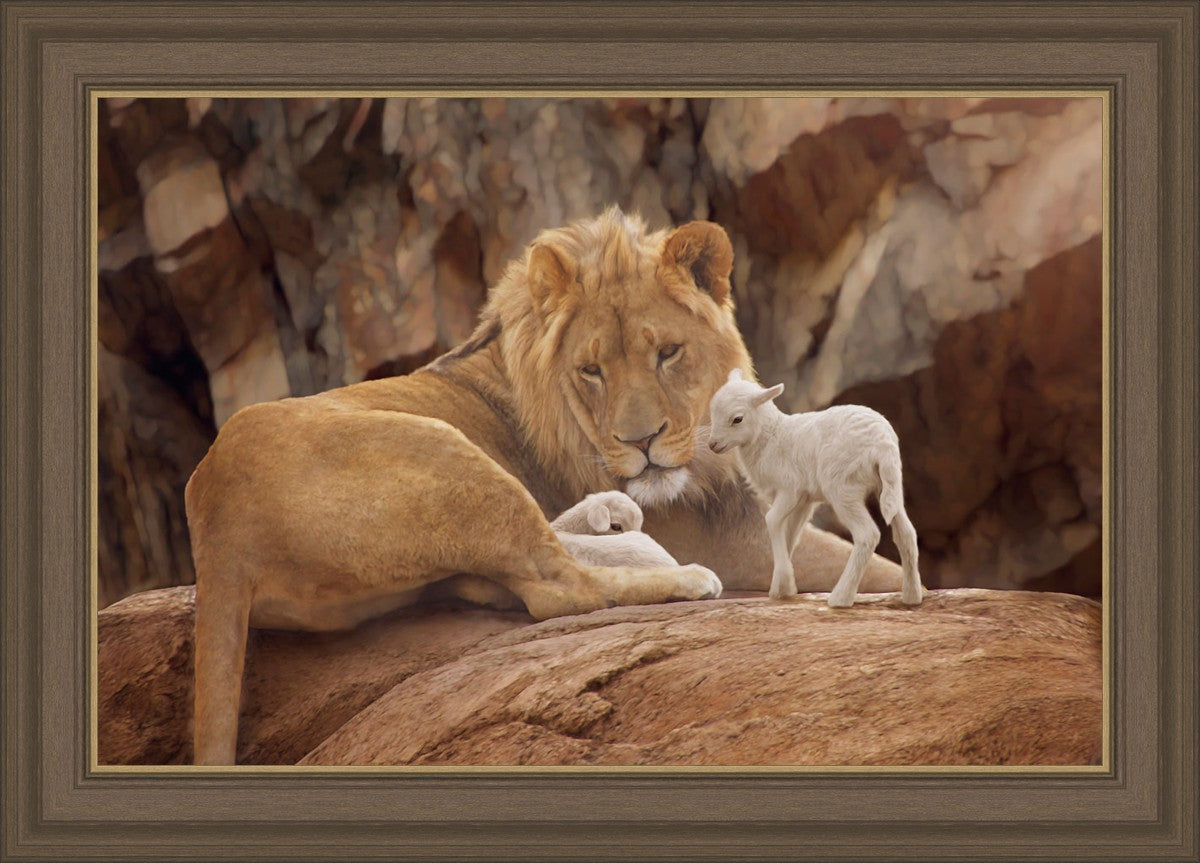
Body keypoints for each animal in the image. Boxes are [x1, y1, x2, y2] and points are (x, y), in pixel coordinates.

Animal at [707, 369, 922, 608]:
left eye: (737, 419)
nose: (712, 445)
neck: (771, 437)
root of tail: (883, 444)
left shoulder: (790, 489)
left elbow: (772, 520)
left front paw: (783, 583)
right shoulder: (804, 500)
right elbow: (790, 534)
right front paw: (782, 587)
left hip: (842, 487)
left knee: (867, 534)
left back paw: (840, 597)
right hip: (890, 485)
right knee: (906, 533)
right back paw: (912, 596)